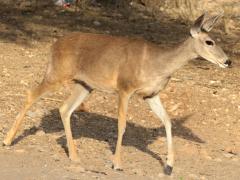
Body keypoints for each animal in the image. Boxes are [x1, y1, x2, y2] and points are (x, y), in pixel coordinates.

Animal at [2, 12, 231, 174]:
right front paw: (117, 164)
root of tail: (53, 46)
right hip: (57, 73)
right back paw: (7, 140)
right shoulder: (124, 88)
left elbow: (167, 121)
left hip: (84, 84)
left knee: (64, 108)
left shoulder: (150, 94)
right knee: (31, 94)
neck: (157, 64)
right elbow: (121, 125)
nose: (228, 61)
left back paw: (74, 156)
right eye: (209, 41)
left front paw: (169, 166)